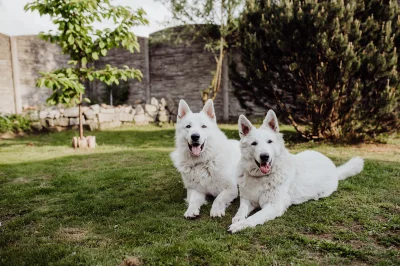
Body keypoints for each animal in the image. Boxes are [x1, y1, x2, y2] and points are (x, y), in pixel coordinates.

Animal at [228, 110, 362, 233]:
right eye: (254, 143)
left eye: (269, 141)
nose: (264, 156)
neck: (262, 177)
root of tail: (333, 167)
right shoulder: (247, 199)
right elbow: (242, 209)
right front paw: (237, 218)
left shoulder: (273, 206)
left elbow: (254, 217)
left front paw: (240, 225)